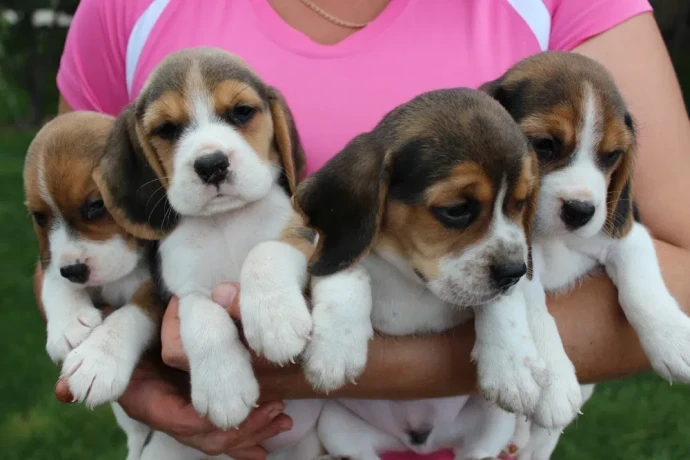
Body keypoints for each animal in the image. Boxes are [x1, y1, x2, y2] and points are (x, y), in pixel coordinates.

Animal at [23, 111, 161, 410]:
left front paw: (100, 358)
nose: (75, 271)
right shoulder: (51, 260)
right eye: (39, 217)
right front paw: (69, 321)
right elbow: (54, 276)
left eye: (97, 205)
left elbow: (134, 311)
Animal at [92, 47, 324, 460]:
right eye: (167, 129)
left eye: (241, 112)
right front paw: (223, 387)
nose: (211, 164)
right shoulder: (181, 287)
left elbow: (264, 252)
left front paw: (274, 319)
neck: (224, 221)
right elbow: (203, 316)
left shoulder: (301, 239)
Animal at [245, 87, 544, 460]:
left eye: (520, 204)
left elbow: (502, 303)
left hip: (490, 427)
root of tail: (419, 440)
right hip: (339, 429)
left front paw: (512, 367)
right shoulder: (328, 252)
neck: (414, 281)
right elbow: (349, 273)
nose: (515, 273)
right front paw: (337, 348)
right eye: (456, 210)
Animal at [478, 51, 688, 456]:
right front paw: (553, 380)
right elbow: (536, 306)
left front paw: (673, 338)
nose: (581, 210)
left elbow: (641, 286)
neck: (552, 238)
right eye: (544, 145)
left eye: (612, 156)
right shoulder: (517, 261)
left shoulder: (627, 233)